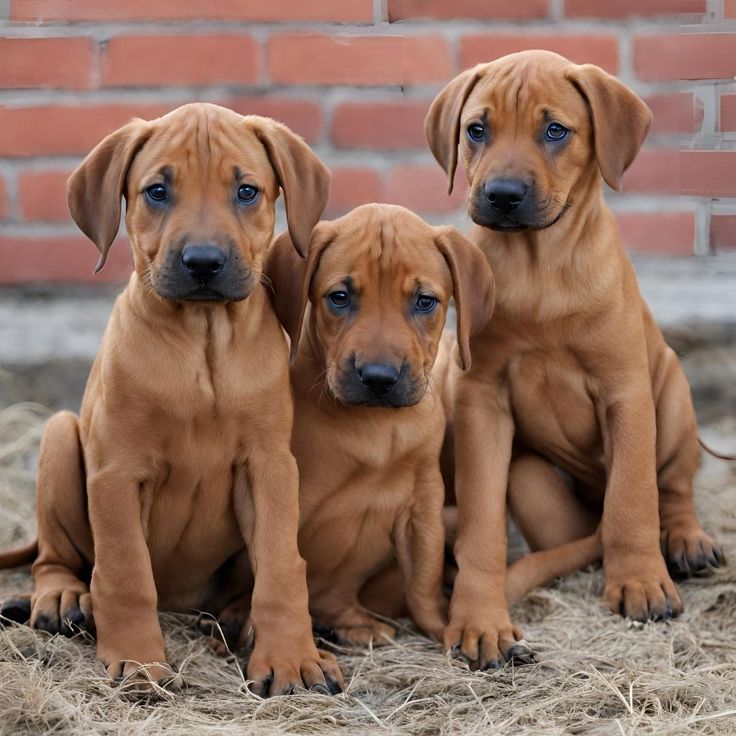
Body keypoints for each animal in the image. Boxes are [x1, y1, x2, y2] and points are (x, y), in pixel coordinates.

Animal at [0, 102, 344, 696]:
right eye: (157, 191)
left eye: (247, 191)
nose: (203, 262)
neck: (202, 343)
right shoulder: (116, 472)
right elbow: (125, 571)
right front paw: (138, 661)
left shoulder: (270, 466)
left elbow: (282, 566)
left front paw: (291, 656)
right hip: (62, 436)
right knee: (54, 556)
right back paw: (63, 597)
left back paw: (238, 618)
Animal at [264, 204, 494, 648]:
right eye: (340, 298)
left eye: (425, 301)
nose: (378, 378)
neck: (376, 426)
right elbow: (275, 568)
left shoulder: (423, 505)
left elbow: (424, 582)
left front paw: (446, 627)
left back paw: (352, 625)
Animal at [426, 51, 724, 668]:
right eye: (476, 130)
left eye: (555, 131)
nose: (503, 194)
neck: (540, 265)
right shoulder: (480, 399)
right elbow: (481, 521)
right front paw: (479, 617)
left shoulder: (627, 392)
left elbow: (634, 496)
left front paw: (639, 582)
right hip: (531, 478)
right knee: (578, 537)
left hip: (671, 394)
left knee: (670, 486)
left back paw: (685, 540)